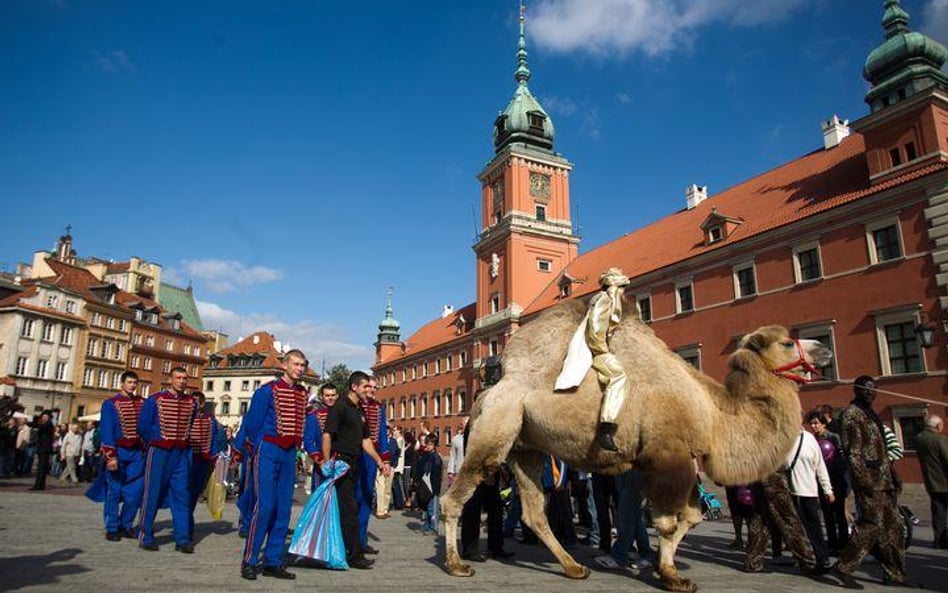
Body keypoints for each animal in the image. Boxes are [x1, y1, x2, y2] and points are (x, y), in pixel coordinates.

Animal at [440, 298, 832, 588]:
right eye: (786, 342)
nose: (824, 350)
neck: (713, 412)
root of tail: (491, 389)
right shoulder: (669, 457)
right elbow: (670, 522)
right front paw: (671, 576)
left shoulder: (669, 462)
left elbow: (691, 516)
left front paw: (661, 567)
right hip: (495, 430)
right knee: (455, 496)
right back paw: (457, 565)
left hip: (527, 448)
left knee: (534, 511)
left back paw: (573, 567)